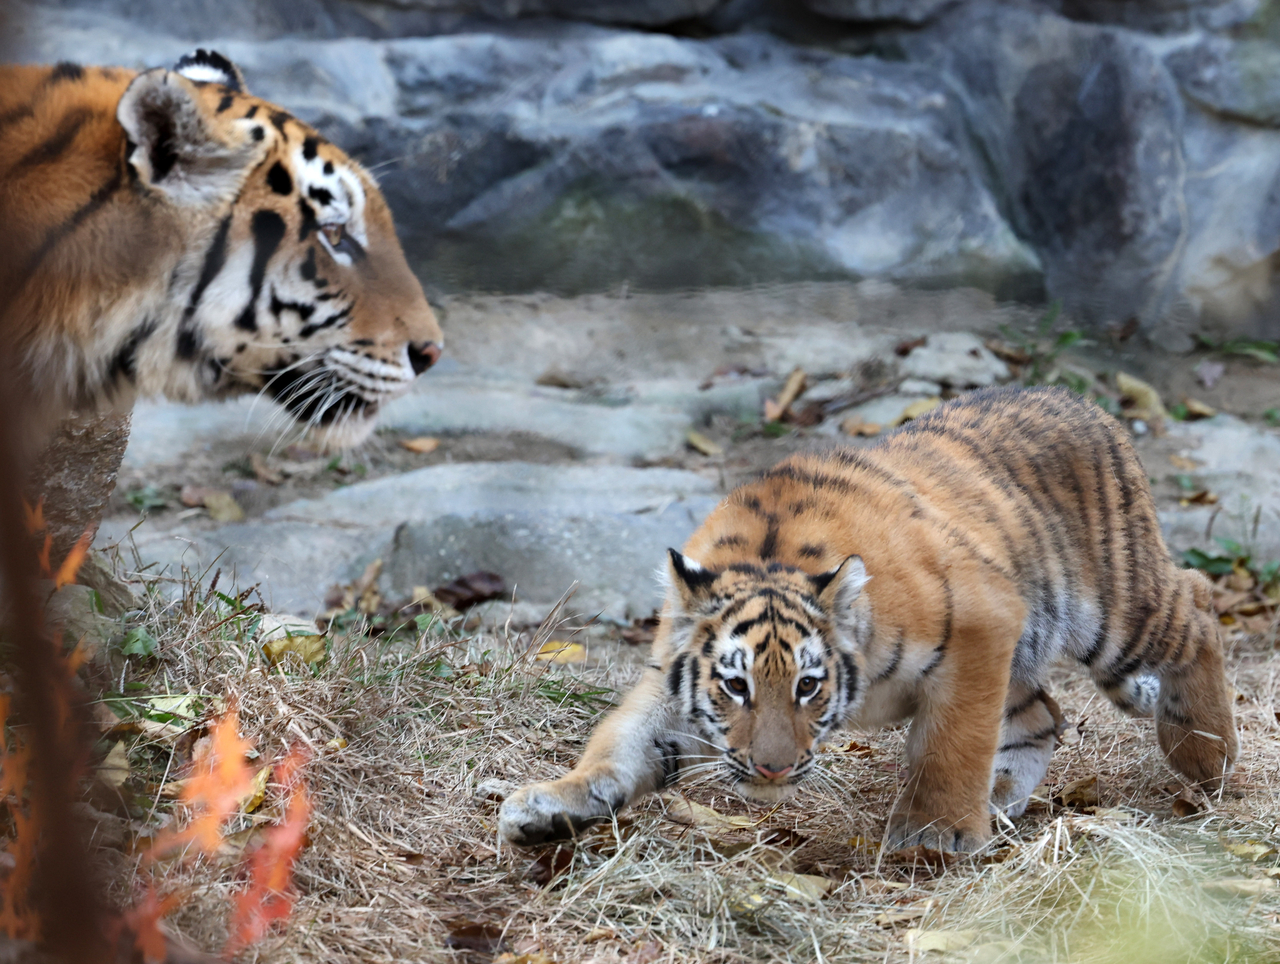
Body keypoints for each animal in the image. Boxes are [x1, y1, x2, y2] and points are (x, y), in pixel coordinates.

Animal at [499, 386, 1239, 853]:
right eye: (735, 686)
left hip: (1109, 607)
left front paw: (938, 831)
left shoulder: (983, 623)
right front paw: (548, 806)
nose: (772, 772)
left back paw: (1207, 757)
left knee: (1199, 602)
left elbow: (951, 740)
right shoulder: (672, 684)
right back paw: (1000, 798)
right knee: (1043, 717)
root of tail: (1081, 402)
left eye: (808, 686)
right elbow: (618, 744)